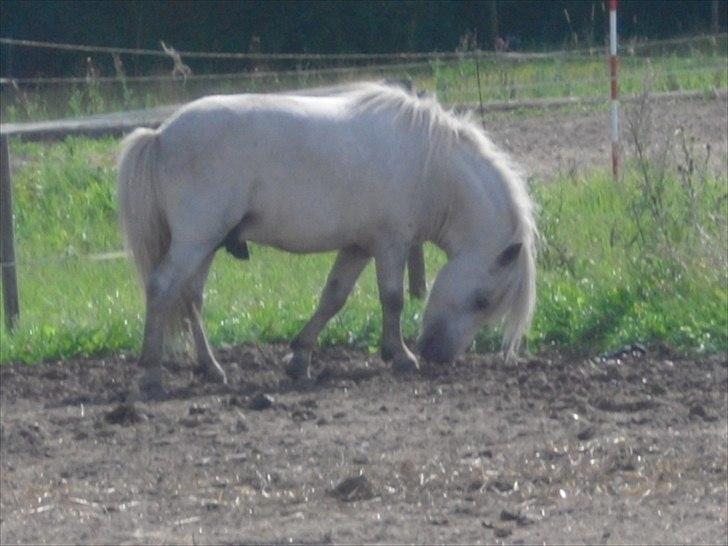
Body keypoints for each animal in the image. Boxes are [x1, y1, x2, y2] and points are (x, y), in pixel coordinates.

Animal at [115, 82, 536, 396]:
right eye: (482, 301)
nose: (439, 356)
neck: (429, 166)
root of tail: (160, 134)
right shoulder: (390, 244)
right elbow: (393, 298)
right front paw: (400, 355)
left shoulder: (358, 247)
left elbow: (333, 297)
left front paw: (300, 358)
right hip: (196, 241)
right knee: (162, 287)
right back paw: (152, 374)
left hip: (206, 244)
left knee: (191, 297)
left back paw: (211, 368)